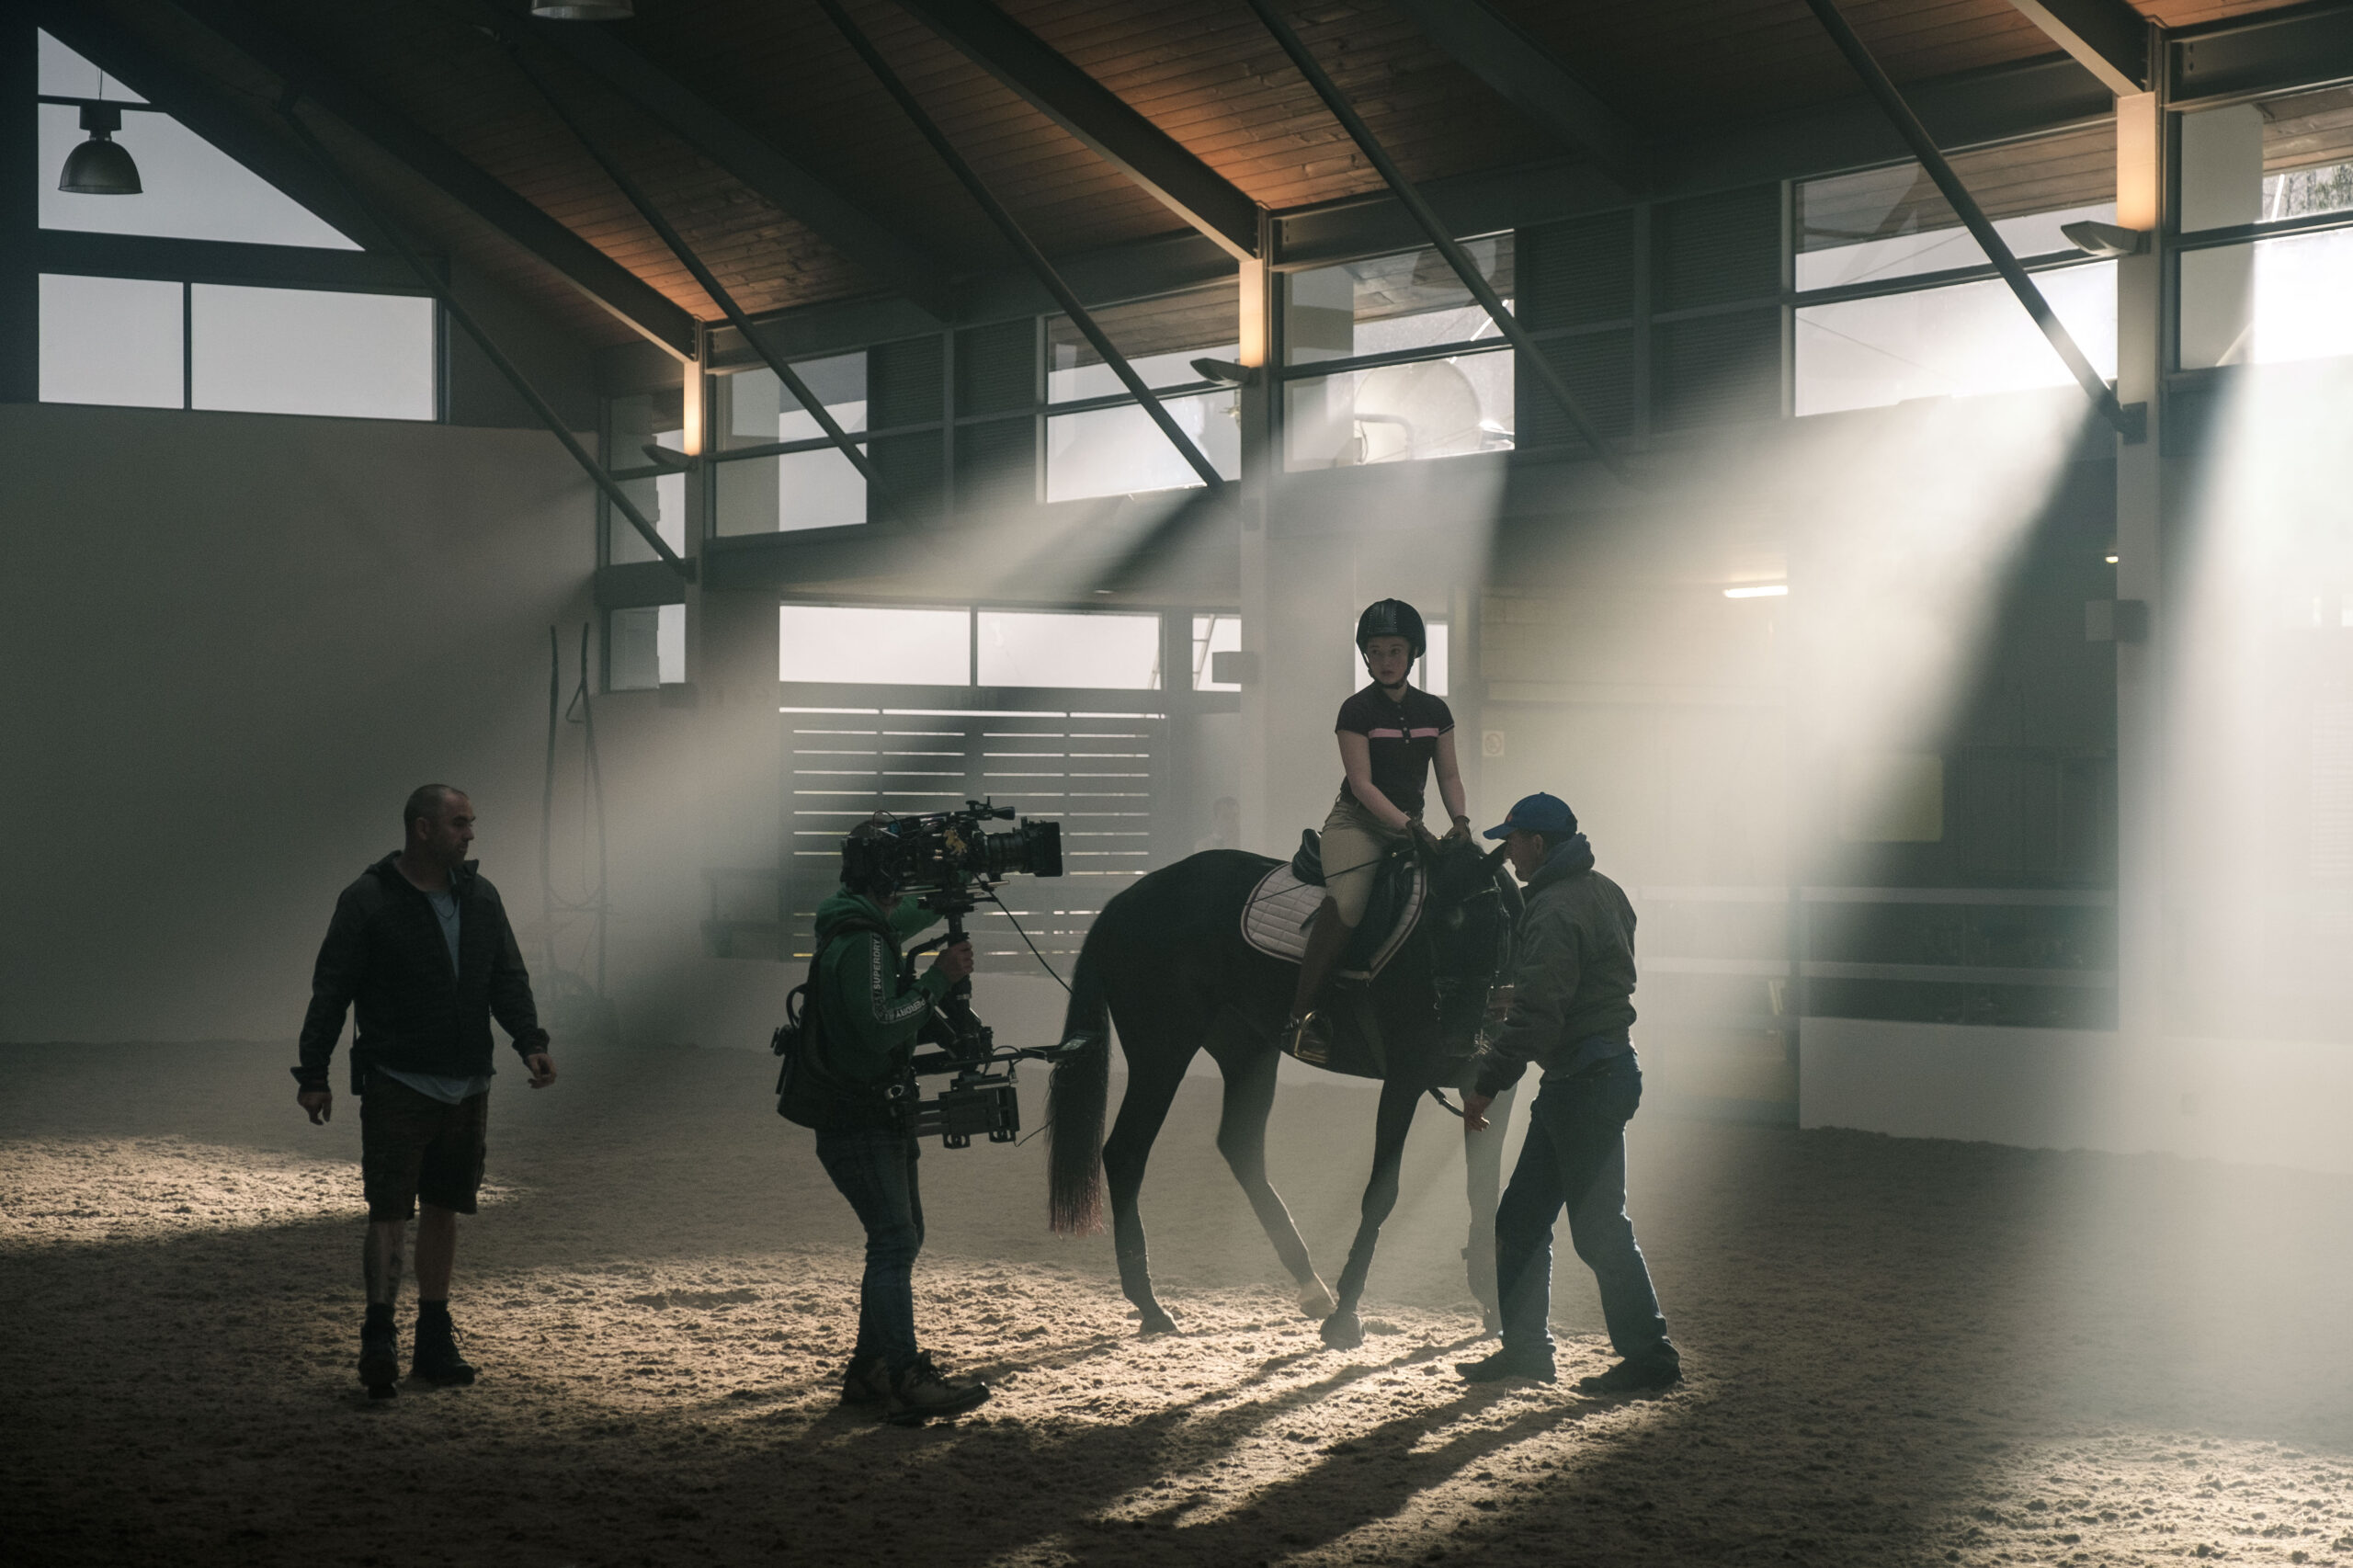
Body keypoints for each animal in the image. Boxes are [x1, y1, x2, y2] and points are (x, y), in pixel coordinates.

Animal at [1040, 828, 1515, 1346]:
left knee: (1240, 1146)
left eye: (1495, 924)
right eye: (1431, 927)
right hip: (1163, 1049)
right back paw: (1150, 1304)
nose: (1459, 1039)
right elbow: (1382, 1192)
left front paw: (1493, 1304)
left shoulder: (1492, 1093)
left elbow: (1483, 1191)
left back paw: (1310, 1286)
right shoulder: (1404, 1080)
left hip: (1247, 1049)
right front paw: (1346, 1317)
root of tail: (1124, 901)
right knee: (1128, 1151)